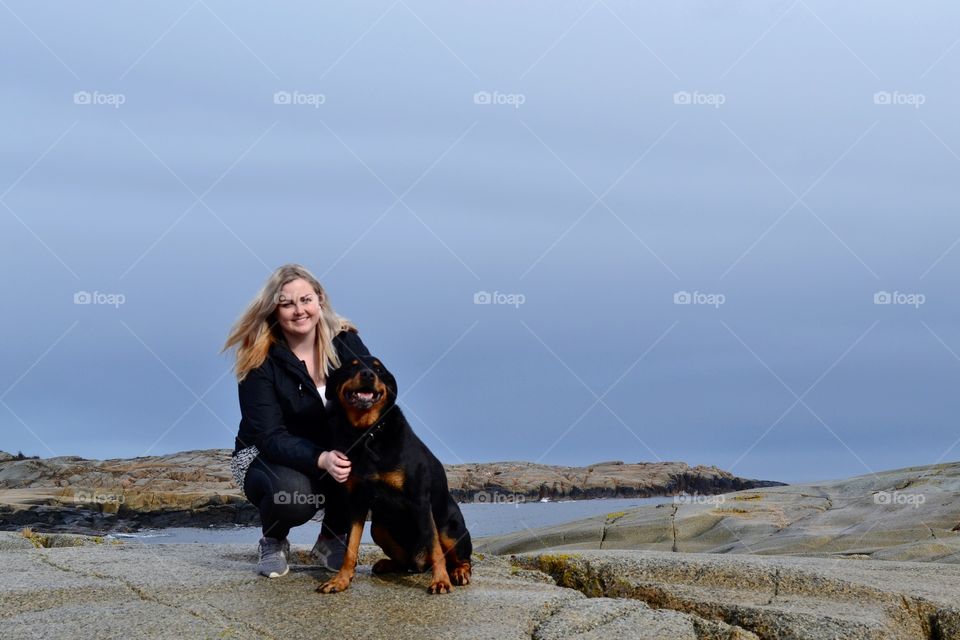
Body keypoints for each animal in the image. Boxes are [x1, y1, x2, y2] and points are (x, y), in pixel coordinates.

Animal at [318, 356, 472, 596]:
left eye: (379, 369)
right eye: (352, 366)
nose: (368, 374)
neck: (368, 434)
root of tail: (420, 563)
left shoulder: (420, 500)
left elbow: (434, 546)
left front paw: (440, 581)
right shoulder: (357, 502)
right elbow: (350, 547)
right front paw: (340, 580)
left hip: (450, 529)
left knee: (458, 557)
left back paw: (458, 572)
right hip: (378, 528)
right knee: (406, 562)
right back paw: (389, 564)